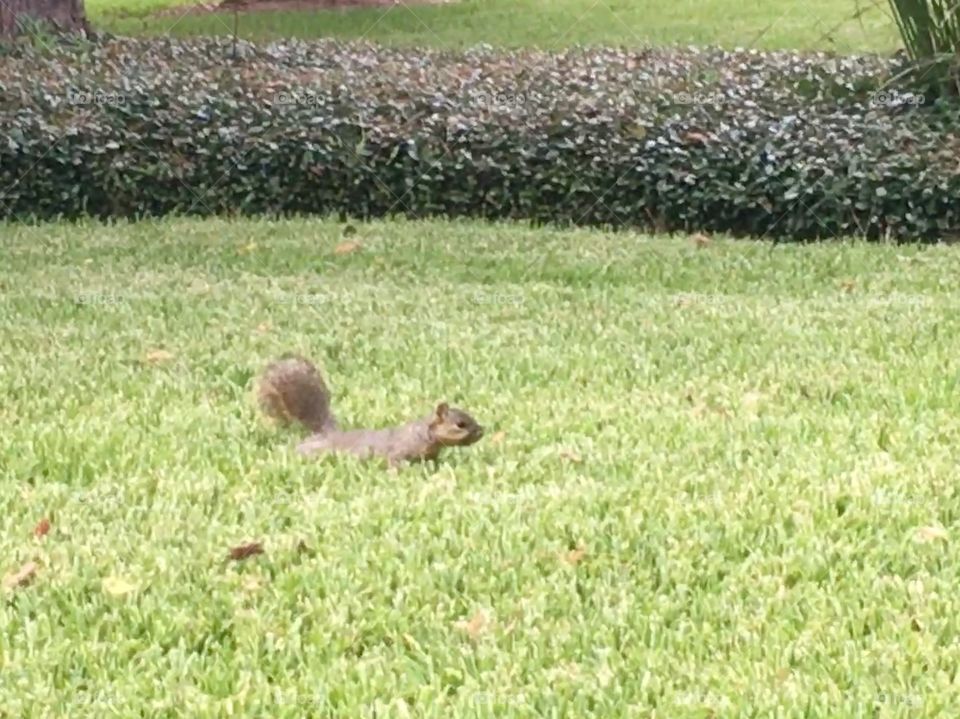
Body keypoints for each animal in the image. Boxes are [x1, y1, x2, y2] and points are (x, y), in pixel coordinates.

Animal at [257, 354, 484, 467]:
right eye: (460, 424)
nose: (482, 431)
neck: (422, 434)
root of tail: (322, 434)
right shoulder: (398, 451)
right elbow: (395, 462)